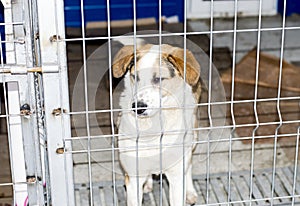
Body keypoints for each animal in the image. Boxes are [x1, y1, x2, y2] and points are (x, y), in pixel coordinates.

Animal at [112, 39, 202, 204]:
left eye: (158, 79)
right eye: (135, 77)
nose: (138, 107)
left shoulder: (176, 176)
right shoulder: (133, 178)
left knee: (189, 164)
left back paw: (190, 191)